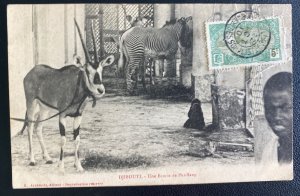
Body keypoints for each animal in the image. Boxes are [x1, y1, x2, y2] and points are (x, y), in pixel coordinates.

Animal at [19, 19, 115, 172]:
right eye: (87, 71)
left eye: (101, 69)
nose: (100, 89)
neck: (76, 89)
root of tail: (31, 72)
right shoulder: (62, 115)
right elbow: (63, 139)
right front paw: (61, 166)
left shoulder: (78, 116)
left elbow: (77, 139)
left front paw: (79, 166)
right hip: (31, 104)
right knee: (30, 126)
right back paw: (32, 159)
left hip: (45, 109)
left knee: (38, 128)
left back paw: (47, 157)